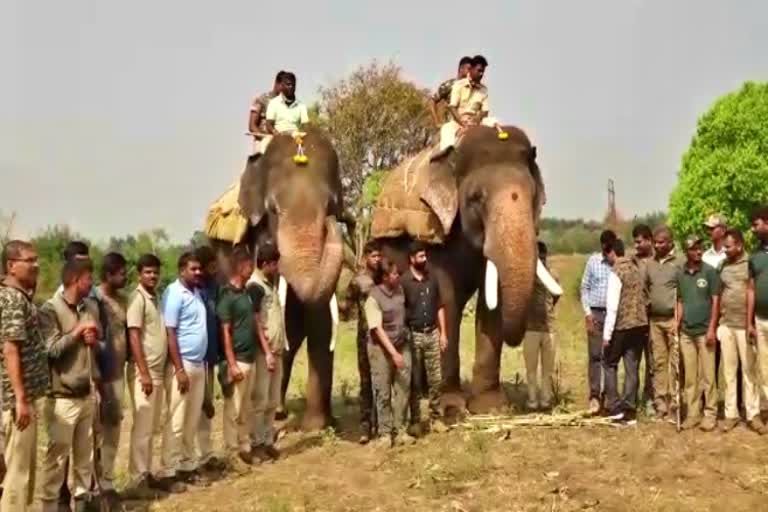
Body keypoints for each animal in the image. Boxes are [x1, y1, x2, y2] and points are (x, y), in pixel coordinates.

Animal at [368, 126, 560, 414]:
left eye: (533, 197)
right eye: (476, 199)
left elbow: (491, 303)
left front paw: (491, 407)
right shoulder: (437, 231)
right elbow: (446, 300)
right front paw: (452, 407)